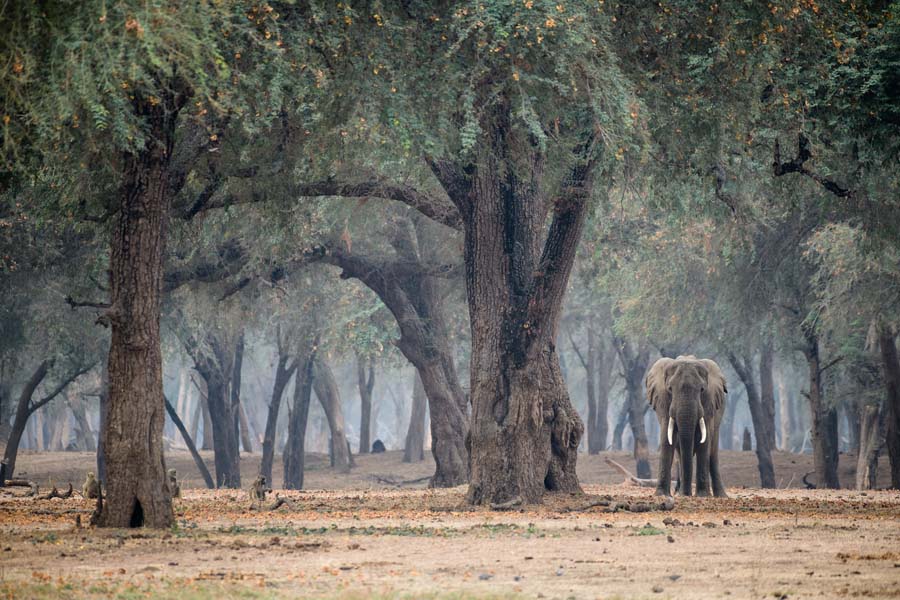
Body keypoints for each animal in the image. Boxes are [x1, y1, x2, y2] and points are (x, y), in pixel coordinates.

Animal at [644, 356, 728, 496]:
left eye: (702, 390)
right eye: (670, 389)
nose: (687, 494)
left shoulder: (708, 404)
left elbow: (704, 440)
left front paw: (702, 496)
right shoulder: (663, 402)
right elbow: (667, 438)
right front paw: (662, 495)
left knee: (712, 451)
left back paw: (720, 496)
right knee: (680, 453)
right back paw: (680, 493)